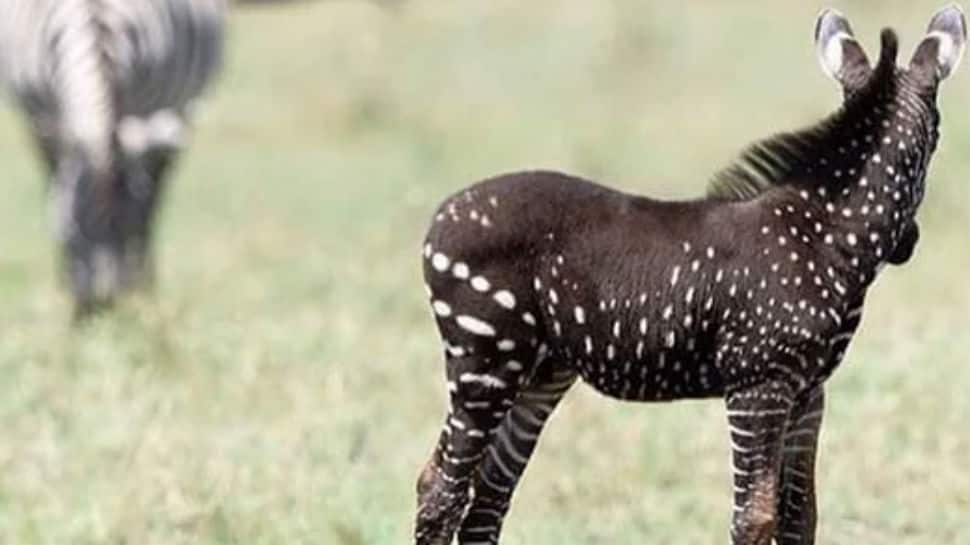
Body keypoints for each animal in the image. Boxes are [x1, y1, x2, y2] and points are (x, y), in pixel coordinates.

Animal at [0, 0, 225, 314]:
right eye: (71, 231)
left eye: (126, 232)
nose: (102, 306)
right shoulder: (40, 119)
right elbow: (54, 188)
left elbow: (143, 207)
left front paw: (137, 288)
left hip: (180, 114)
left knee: (155, 196)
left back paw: (146, 285)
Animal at [412, 5, 964, 544]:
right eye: (936, 141)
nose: (911, 245)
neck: (822, 237)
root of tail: (442, 214)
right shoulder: (758, 383)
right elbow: (754, 518)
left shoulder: (809, 391)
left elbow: (799, 517)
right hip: (485, 361)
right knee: (439, 490)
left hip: (540, 372)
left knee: (487, 497)